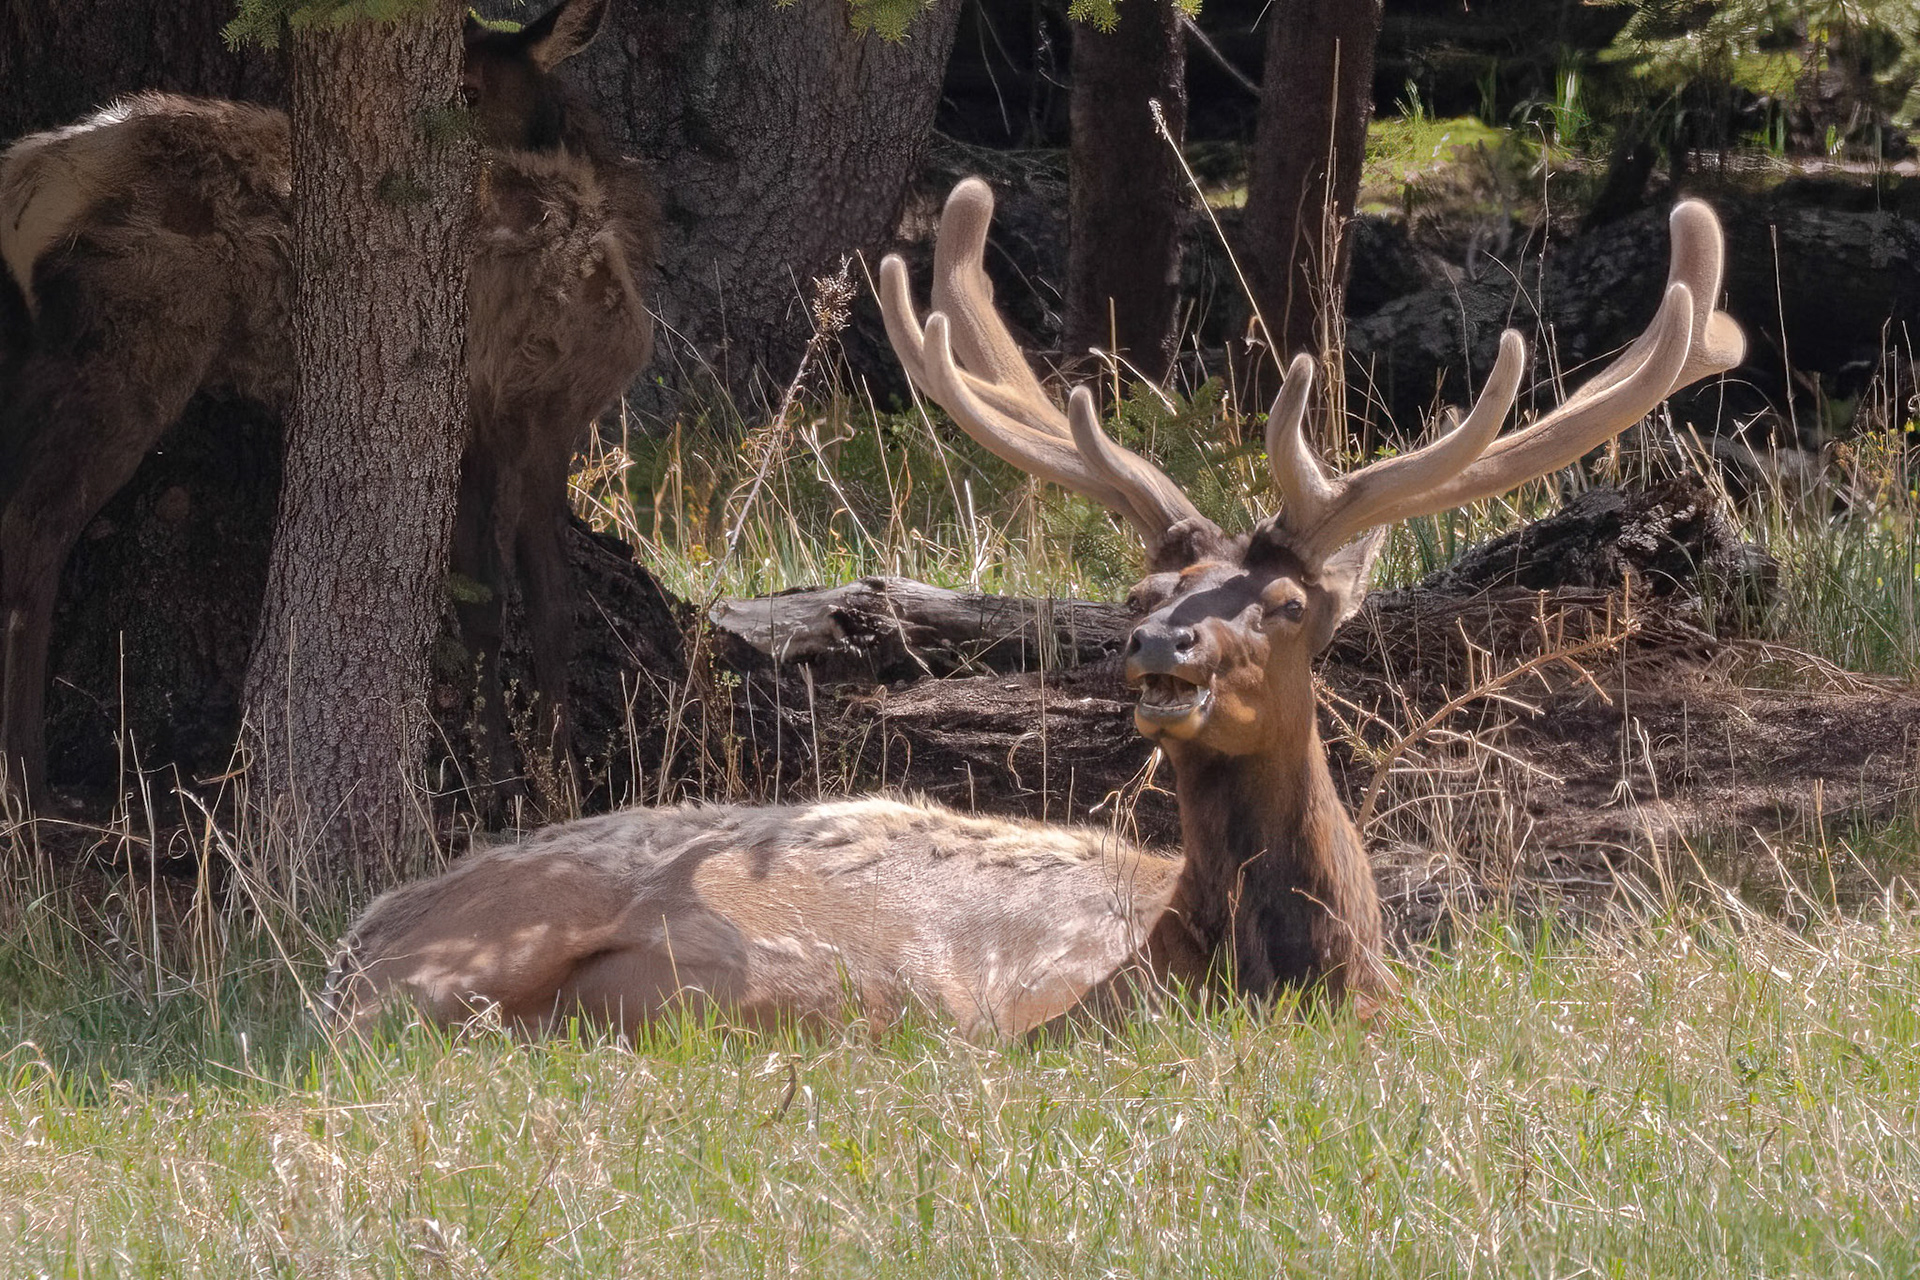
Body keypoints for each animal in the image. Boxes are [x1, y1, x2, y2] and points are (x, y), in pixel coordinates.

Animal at [0, 0, 654, 808]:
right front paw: (542, 784)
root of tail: (24, 181)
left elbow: (501, 605)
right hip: (131, 351)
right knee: (34, 528)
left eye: (472, 89)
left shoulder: (486, 423)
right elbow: (539, 605)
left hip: (36, 357)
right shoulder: (536, 408)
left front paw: (511, 784)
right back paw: (29, 790)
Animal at [321, 179, 1744, 1040]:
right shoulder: (1042, 1023)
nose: (1162, 650)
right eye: (1142, 590)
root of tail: (357, 934)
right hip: (452, 969)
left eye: (1288, 602)